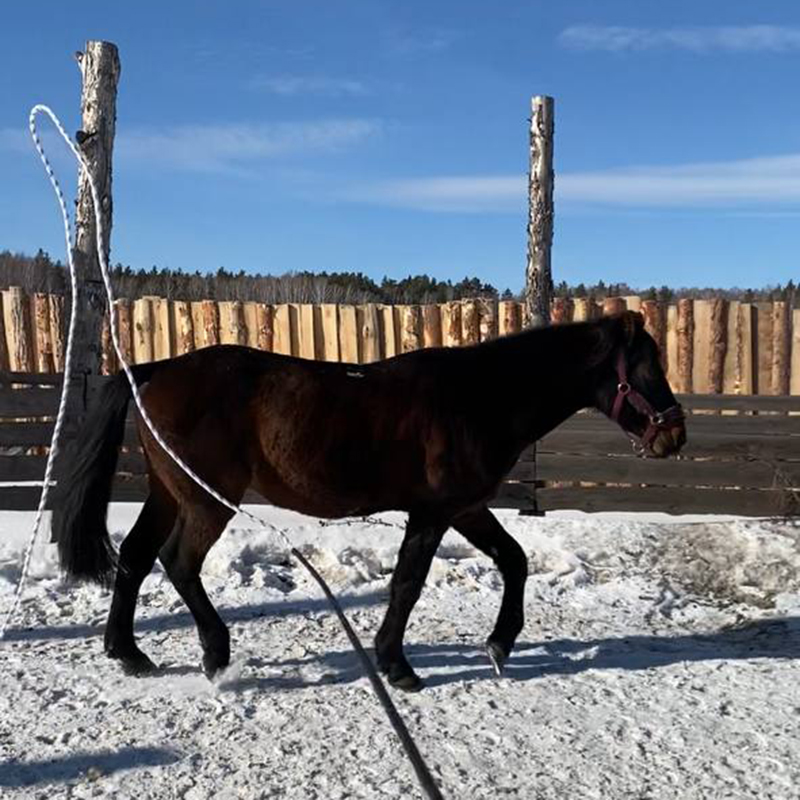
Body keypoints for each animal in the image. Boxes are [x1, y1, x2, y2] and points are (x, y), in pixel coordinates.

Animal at [53, 310, 684, 692]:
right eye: (647, 368)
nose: (675, 435)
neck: (480, 397)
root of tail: (152, 369)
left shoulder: (465, 509)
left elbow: (514, 560)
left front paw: (500, 644)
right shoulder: (432, 514)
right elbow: (407, 584)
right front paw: (397, 665)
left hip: (170, 492)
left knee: (136, 558)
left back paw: (129, 653)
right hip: (208, 501)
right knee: (178, 563)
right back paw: (215, 654)